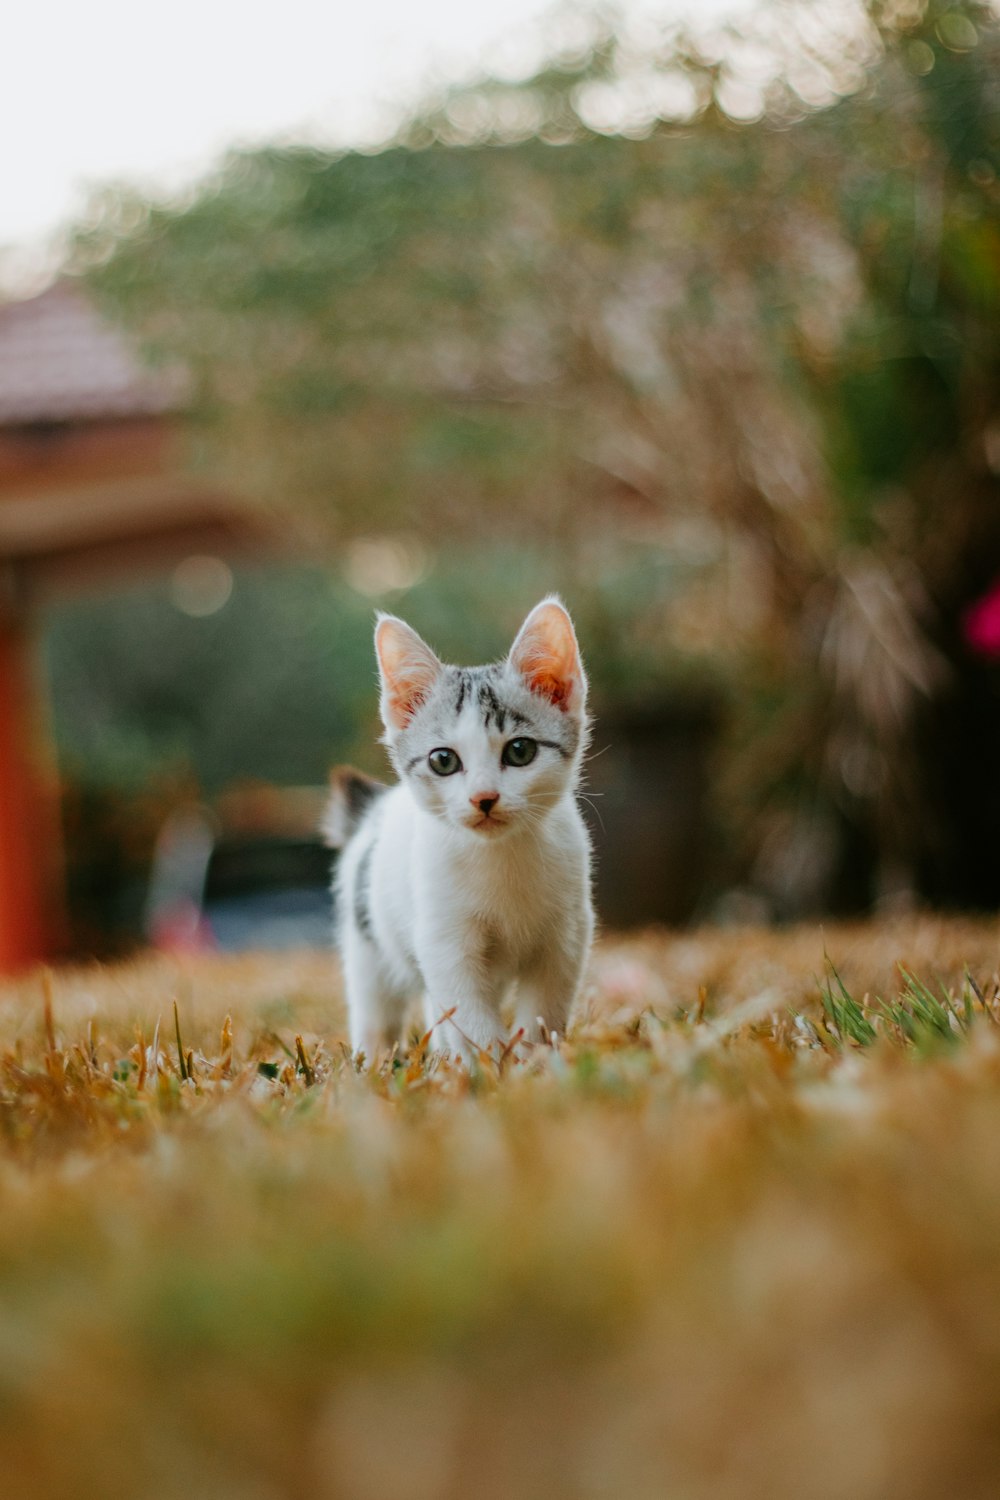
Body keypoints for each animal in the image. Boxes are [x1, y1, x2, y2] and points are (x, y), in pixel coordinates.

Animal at [322, 591, 593, 1062]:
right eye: (443, 760)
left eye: (519, 751)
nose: (483, 798)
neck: (501, 856)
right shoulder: (443, 941)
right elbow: (468, 1011)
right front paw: (493, 1064)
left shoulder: (567, 935)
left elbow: (544, 1007)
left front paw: (535, 1060)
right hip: (369, 943)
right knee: (377, 1010)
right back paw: (375, 1060)